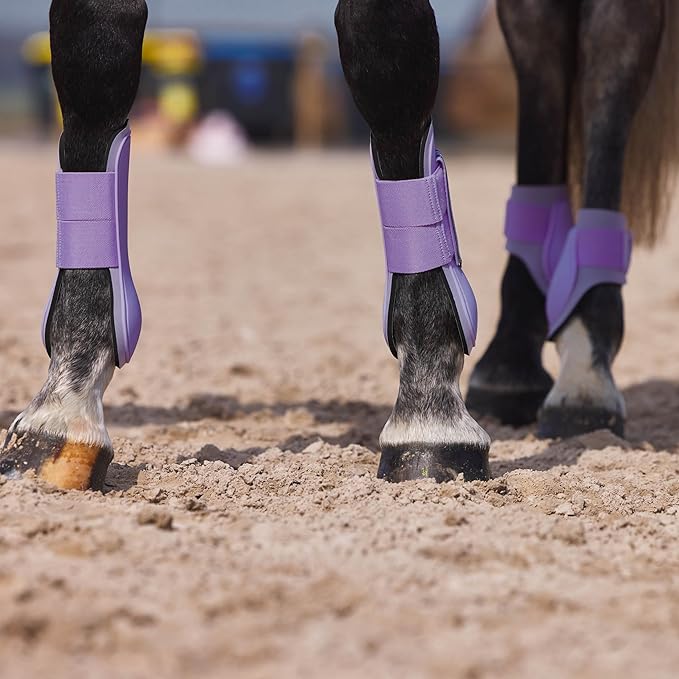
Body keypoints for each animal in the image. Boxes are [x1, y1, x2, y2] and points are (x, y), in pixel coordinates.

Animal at [1, 0, 677, 490]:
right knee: (540, 51)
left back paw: (586, 368)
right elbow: (92, 55)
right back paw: (511, 365)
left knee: (608, 51)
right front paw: (63, 402)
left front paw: (429, 410)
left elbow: (387, 53)